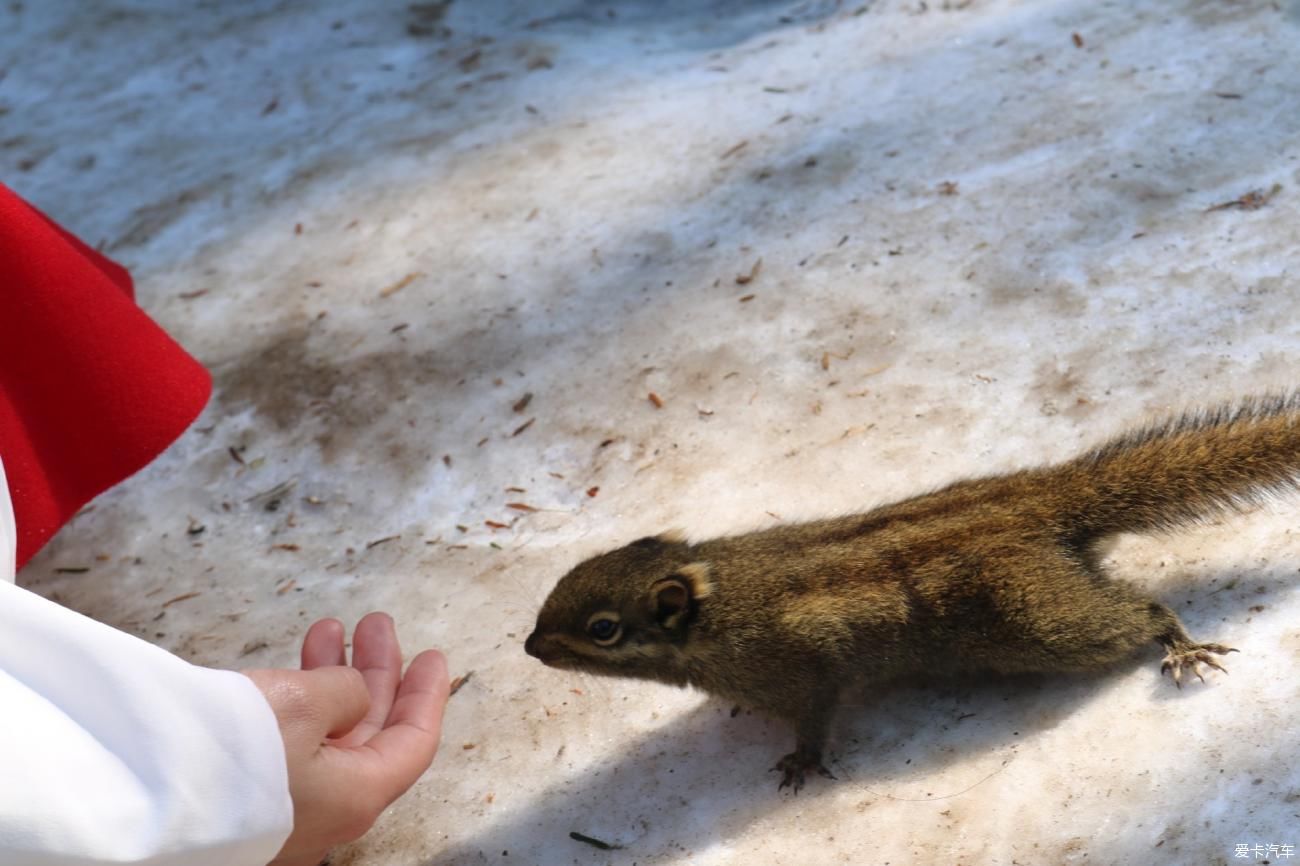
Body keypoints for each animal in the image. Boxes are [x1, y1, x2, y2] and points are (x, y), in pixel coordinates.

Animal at [520, 395, 1300, 785]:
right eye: (557, 586)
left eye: (602, 629)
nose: (529, 647)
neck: (720, 605)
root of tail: (1043, 498)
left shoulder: (805, 666)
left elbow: (817, 713)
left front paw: (803, 761)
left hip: (1041, 622)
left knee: (1140, 610)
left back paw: (1178, 643)